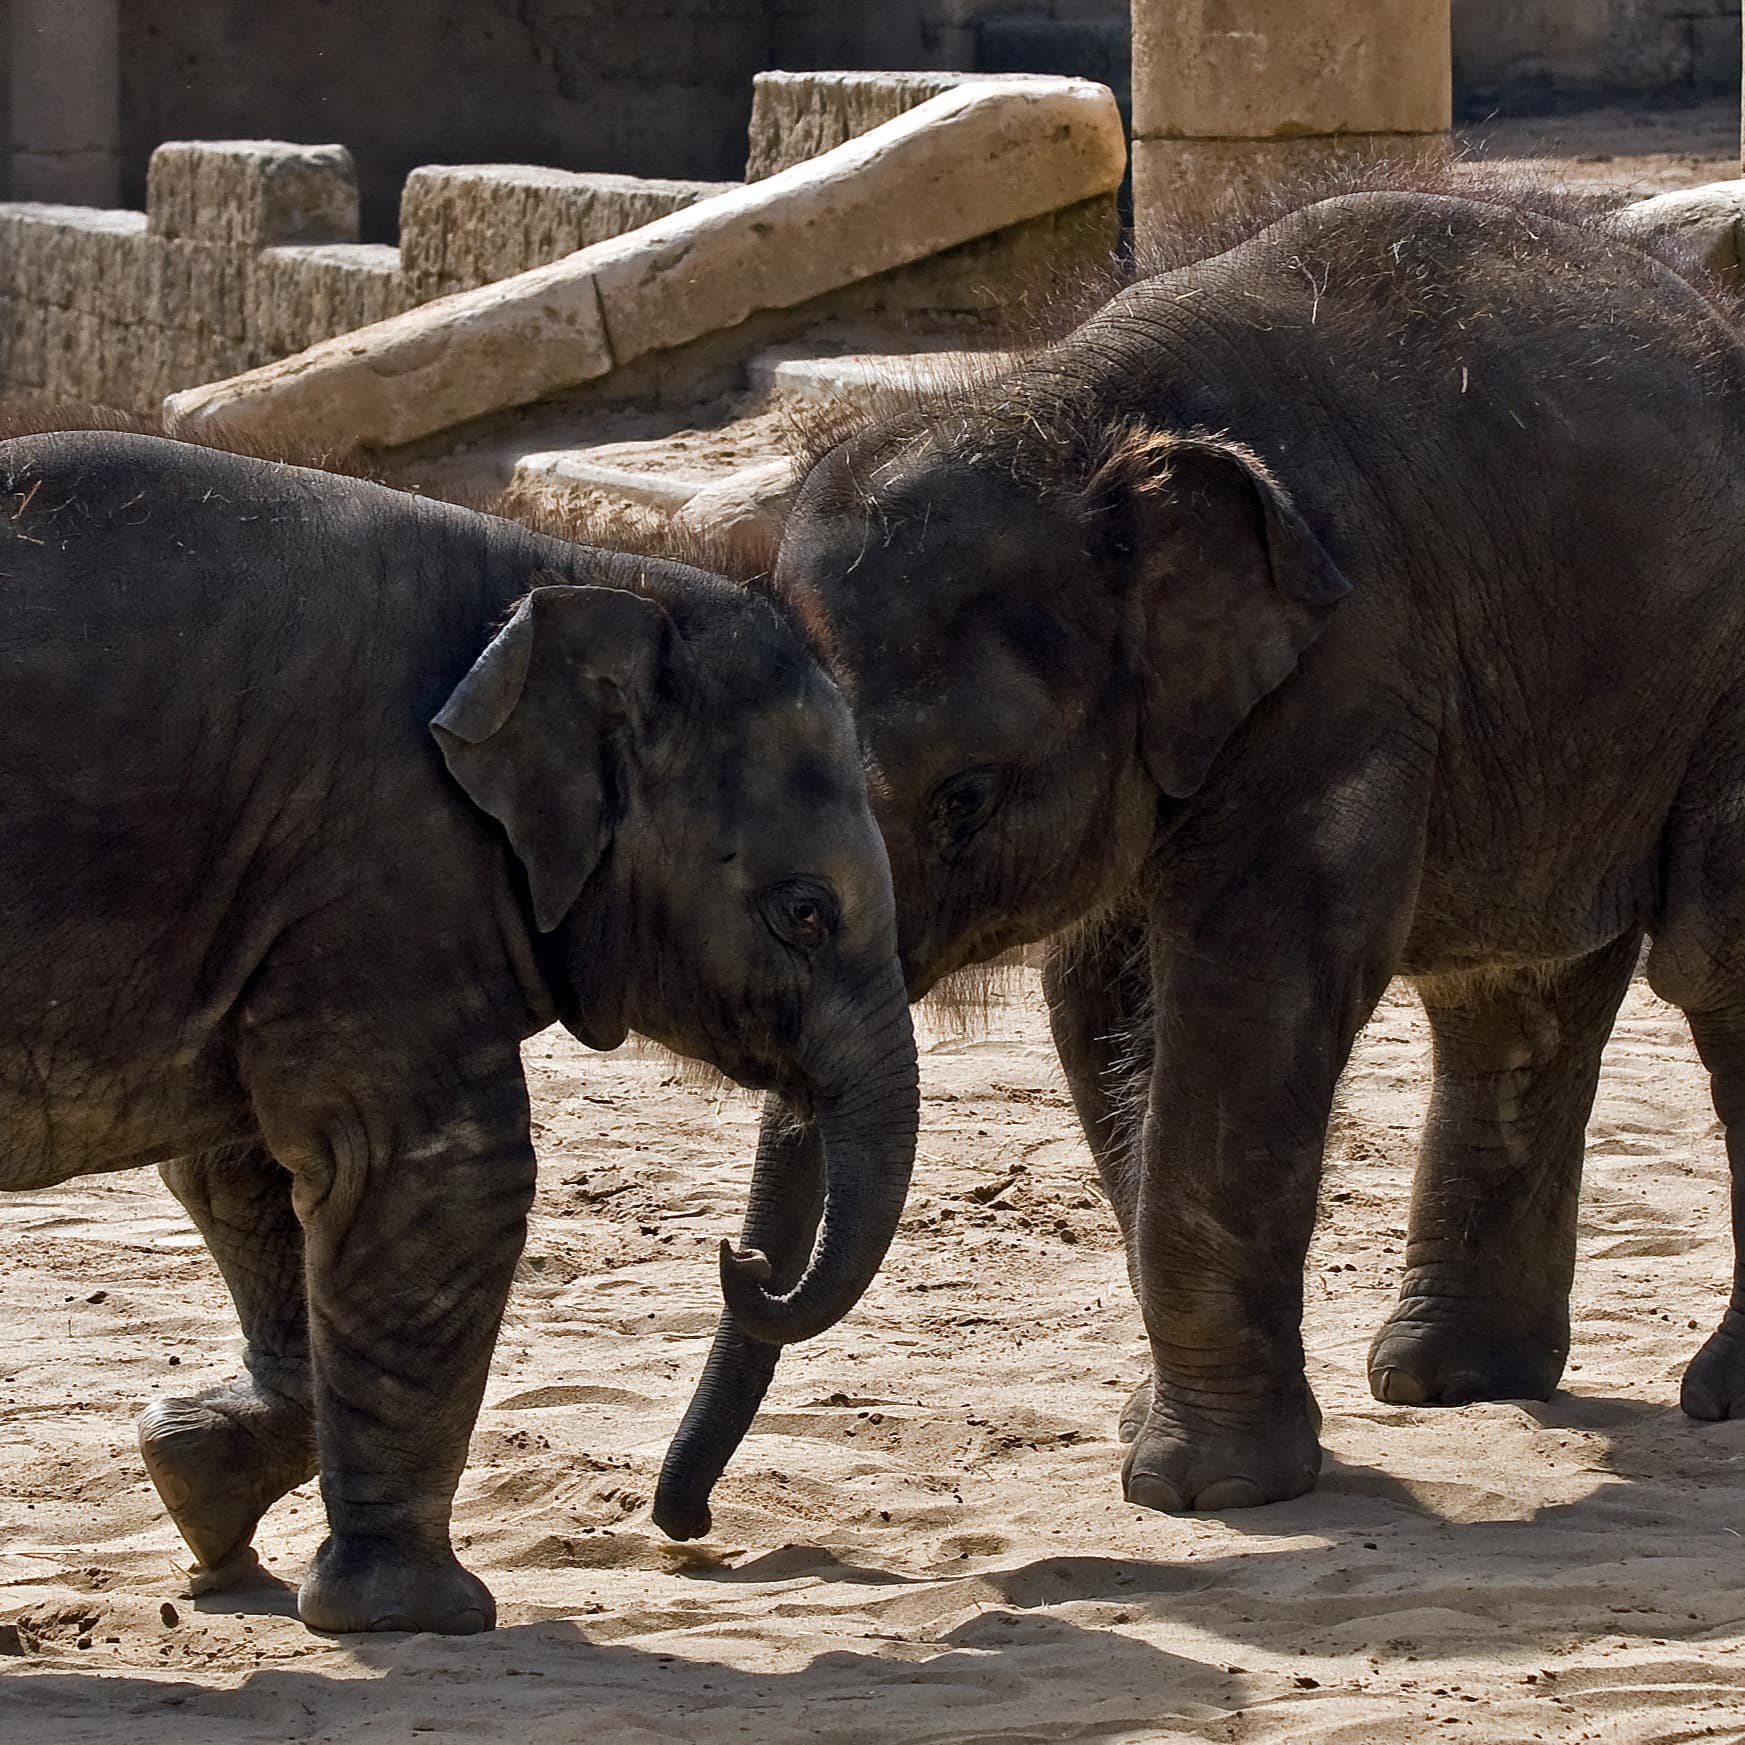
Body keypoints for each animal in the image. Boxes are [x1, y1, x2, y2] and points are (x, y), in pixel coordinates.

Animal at [0, 429, 921, 1626]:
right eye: (803, 912)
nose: (744, 1257)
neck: (569, 573)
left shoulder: (271, 903)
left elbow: (246, 1166)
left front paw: (199, 1481)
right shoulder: (384, 865)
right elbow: (431, 1175)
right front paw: (418, 1613)